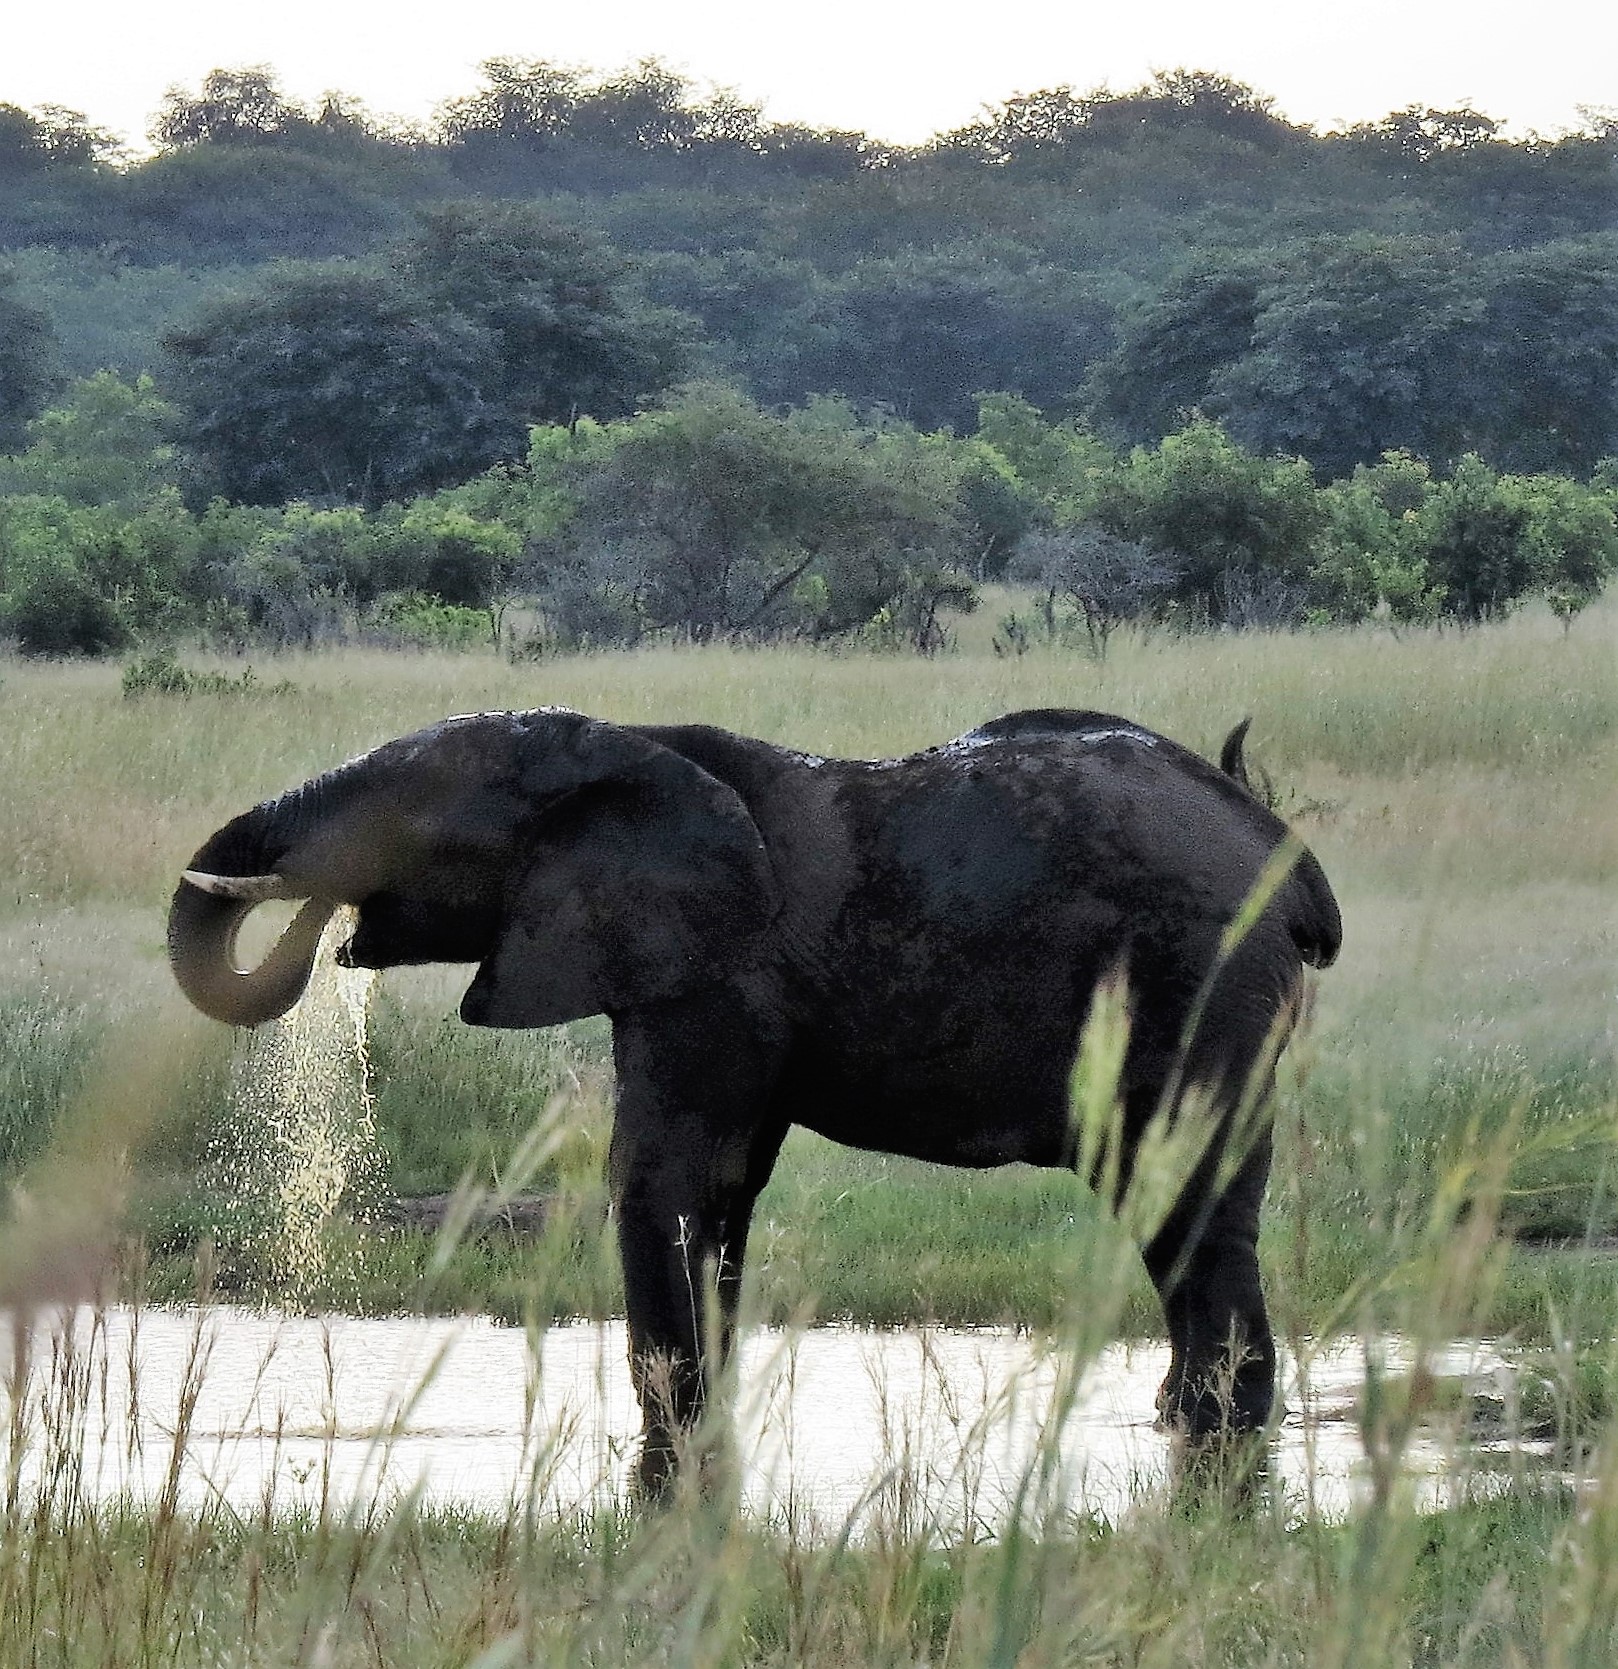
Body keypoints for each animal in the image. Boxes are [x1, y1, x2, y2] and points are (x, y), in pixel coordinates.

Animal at [169, 705, 1340, 1494]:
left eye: (410, 813)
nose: (329, 924)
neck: (616, 744)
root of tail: (1284, 856)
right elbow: (719, 1191)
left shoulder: (714, 971)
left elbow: (663, 1179)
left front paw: (672, 1459)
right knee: (1175, 1209)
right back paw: (1185, 1424)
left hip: (1199, 979)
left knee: (1194, 1198)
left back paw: (1218, 1435)